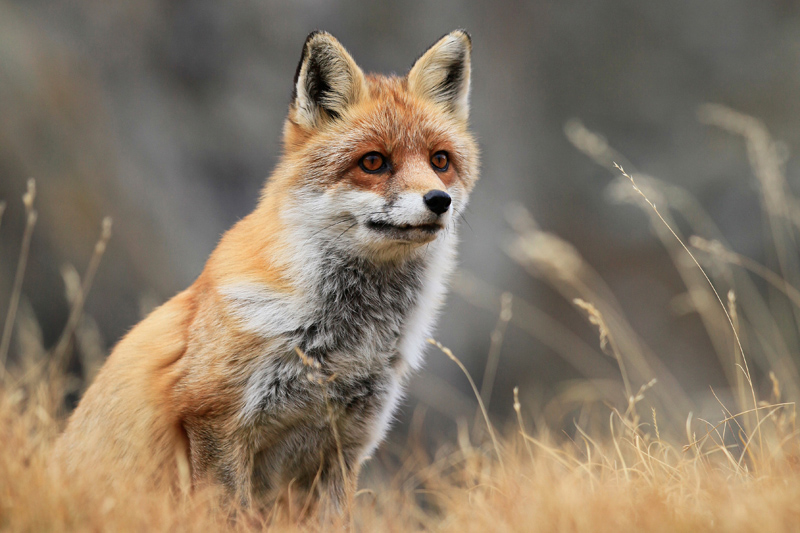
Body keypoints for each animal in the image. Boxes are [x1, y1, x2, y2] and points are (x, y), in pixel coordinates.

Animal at [54, 29, 479, 512]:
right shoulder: (215, 421)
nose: (439, 200)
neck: (347, 343)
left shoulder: (346, 445)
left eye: (440, 161)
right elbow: (228, 514)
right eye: (373, 162)